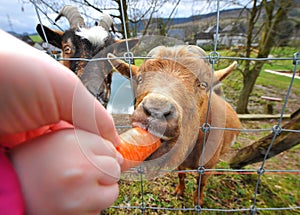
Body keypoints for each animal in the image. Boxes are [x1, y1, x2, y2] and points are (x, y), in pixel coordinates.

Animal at [108, 45, 241, 205]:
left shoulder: (208, 166)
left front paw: (198, 201)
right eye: (139, 78)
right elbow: (181, 175)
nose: (156, 110)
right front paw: (179, 192)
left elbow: (201, 183)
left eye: (203, 84)